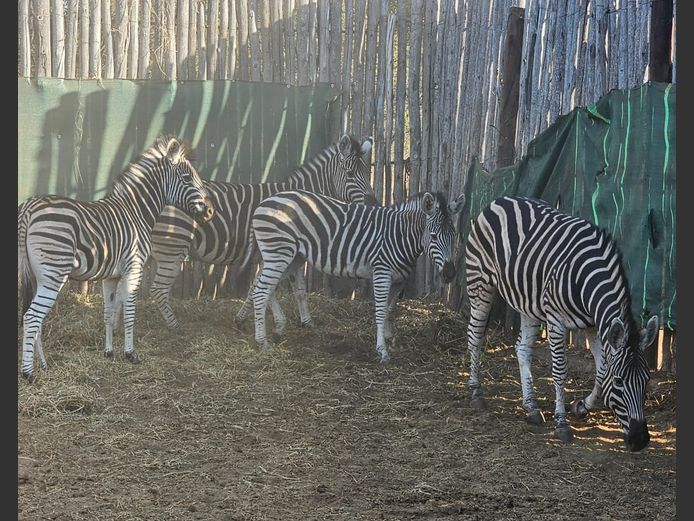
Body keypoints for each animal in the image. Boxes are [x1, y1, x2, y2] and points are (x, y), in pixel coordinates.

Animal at [18, 136, 214, 382]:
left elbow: (108, 314)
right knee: (32, 317)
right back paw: (28, 373)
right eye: (187, 177)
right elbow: (129, 313)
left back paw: (42, 365)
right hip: (54, 273)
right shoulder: (134, 268)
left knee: (34, 316)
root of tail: (29, 205)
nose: (210, 211)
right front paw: (130, 354)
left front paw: (108, 352)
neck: (137, 212)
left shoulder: (110, 276)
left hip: (37, 275)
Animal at [148, 134, 377, 330]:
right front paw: (247, 319)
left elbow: (298, 291)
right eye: (350, 174)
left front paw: (306, 322)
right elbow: (263, 288)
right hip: (173, 247)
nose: (374, 202)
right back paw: (173, 325)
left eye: (367, 173)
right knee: (158, 289)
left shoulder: (289, 254)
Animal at [246, 189, 465, 362]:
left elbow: (390, 309)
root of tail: (263, 203)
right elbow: (380, 311)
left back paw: (278, 328)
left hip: (293, 257)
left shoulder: (399, 280)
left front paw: (389, 338)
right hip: (279, 253)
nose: (449, 274)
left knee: (262, 286)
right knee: (261, 291)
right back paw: (262, 341)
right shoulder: (382, 273)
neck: (400, 236)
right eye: (434, 237)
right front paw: (382, 350)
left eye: (454, 235)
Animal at [464, 195, 658, 451]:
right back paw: (476, 393)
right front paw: (562, 424)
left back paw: (531, 407)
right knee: (475, 336)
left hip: (528, 303)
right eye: (619, 382)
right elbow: (560, 371)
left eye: (646, 380)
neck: (588, 281)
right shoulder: (556, 321)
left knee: (522, 349)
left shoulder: (594, 325)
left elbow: (601, 370)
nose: (640, 440)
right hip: (480, 284)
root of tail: (500, 199)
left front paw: (582, 406)